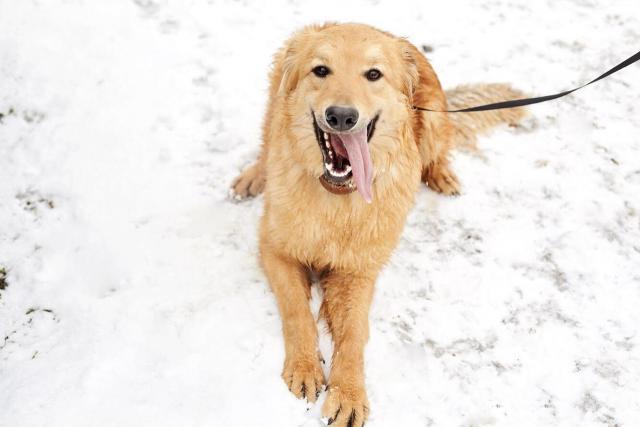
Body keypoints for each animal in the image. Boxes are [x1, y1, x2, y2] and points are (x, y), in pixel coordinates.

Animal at [230, 24, 524, 427]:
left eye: (373, 74)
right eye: (321, 70)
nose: (341, 116)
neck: (338, 198)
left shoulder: (359, 272)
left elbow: (354, 334)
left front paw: (349, 392)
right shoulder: (275, 250)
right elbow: (296, 311)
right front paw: (305, 366)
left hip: (433, 117)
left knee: (437, 151)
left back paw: (442, 174)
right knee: (266, 142)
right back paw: (253, 176)